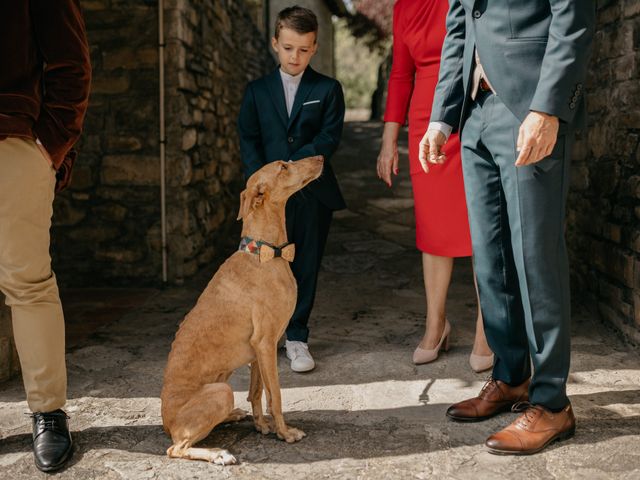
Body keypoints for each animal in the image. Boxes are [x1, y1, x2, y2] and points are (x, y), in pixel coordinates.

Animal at [158, 156, 322, 464]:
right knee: (176, 448)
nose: (320, 157)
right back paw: (218, 454)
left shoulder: (259, 349)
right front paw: (285, 433)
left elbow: (257, 391)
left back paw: (232, 416)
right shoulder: (266, 343)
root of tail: (165, 422)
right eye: (283, 166)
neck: (265, 253)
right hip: (220, 391)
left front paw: (262, 426)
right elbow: (276, 396)